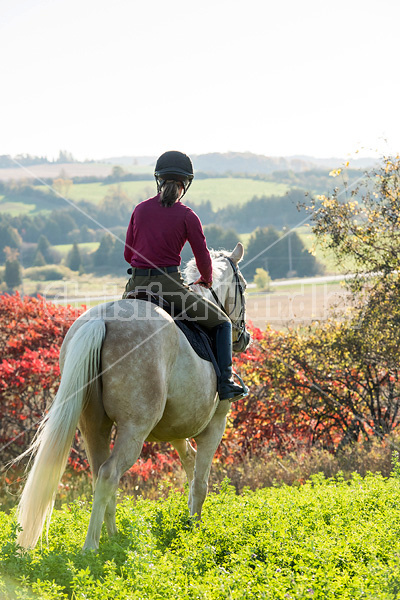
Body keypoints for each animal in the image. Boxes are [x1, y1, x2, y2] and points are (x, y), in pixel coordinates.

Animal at [18, 243, 252, 548]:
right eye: (243, 286)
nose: (244, 337)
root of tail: (101, 320)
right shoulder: (215, 426)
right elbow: (200, 482)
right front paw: (196, 531)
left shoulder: (176, 429)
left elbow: (189, 465)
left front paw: (189, 522)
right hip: (134, 429)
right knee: (109, 473)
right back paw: (91, 547)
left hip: (93, 426)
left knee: (100, 475)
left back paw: (113, 539)